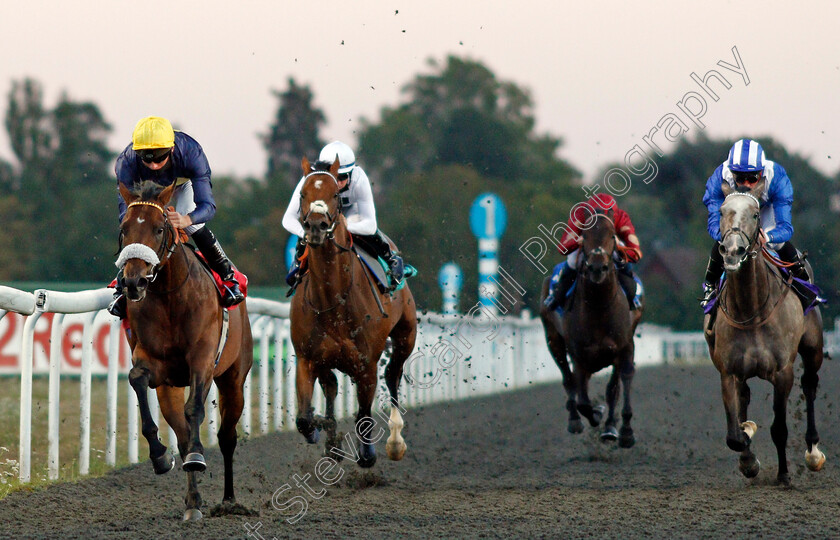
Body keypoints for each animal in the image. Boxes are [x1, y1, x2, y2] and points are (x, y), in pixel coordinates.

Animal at [116, 181, 253, 520]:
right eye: (124, 229)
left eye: (159, 228)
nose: (134, 282)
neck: (170, 298)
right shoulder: (153, 363)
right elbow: (137, 379)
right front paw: (159, 456)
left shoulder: (202, 359)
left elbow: (195, 411)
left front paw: (197, 455)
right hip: (169, 389)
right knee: (180, 432)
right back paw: (193, 503)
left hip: (234, 379)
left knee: (227, 437)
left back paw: (229, 500)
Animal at [290, 156, 418, 468]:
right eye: (302, 194)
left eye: (336, 194)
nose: (316, 226)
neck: (332, 299)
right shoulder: (307, 358)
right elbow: (303, 418)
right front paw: (322, 430)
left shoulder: (366, 363)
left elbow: (364, 415)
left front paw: (366, 453)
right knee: (332, 386)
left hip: (405, 335)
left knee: (393, 375)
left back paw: (395, 442)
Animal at [540, 207, 644, 448]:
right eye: (584, 235)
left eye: (612, 236)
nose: (597, 268)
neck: (598, 306)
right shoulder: (578, 354)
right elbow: (583, 401)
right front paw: (595, 413)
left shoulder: (623, 346)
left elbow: (619, 384)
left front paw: (623, 431)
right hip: (554, 340)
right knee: (569, 380)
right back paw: (575, 420)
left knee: (612, 386)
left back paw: (610, 426)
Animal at [704, 179, 828, 484]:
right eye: (722, 211)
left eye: (756, 213)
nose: (733, 251)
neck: (751, 310)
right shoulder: (729, 372)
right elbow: (734, 435)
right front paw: (748, 453)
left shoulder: (782, 372)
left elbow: (779, 428)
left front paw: (783, 475)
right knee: (746, 396)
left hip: (813, 349)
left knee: (810, 384)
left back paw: (813, 452)